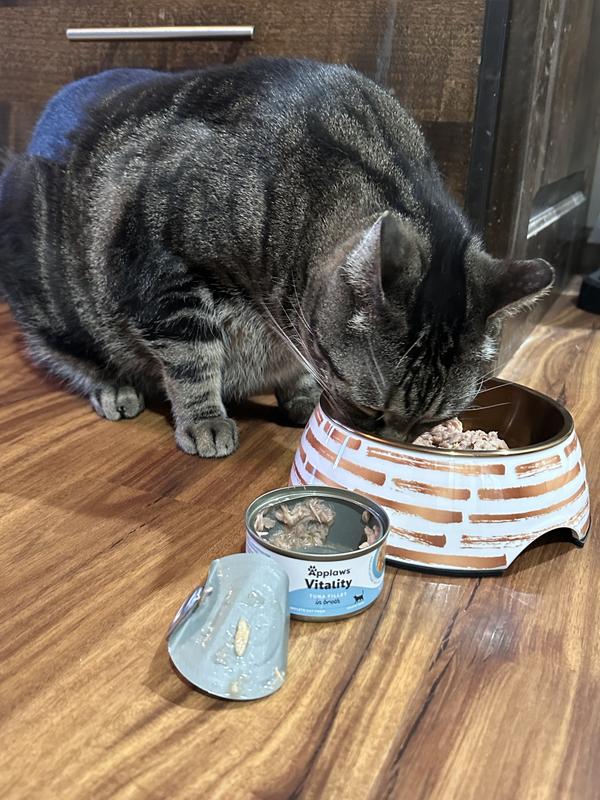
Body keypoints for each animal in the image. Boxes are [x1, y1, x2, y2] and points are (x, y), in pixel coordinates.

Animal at [0, 58, 553, 457]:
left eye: (434, 421)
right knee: (57, 348)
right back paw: (111, 384)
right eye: (370, 408)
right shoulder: (163, 270)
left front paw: (302, 396)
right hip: (50, 281)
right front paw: (205, 420)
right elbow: (192, 360)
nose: (390, 445)